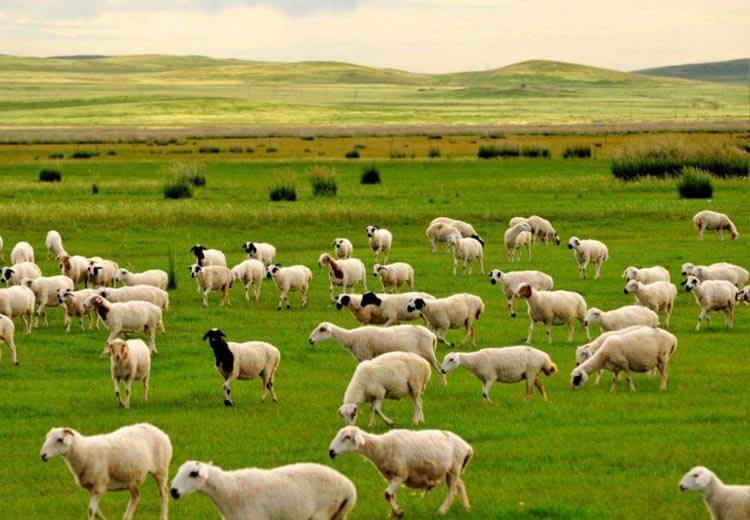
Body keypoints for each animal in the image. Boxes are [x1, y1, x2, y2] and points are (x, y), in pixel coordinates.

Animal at [40, 423, 171, 520]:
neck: (83, 451)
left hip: (161, 469)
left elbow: (91, 511)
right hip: (132, 476)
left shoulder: (99, 485)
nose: (43, 456)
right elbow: (97, 511)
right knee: (136, 496)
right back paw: (126, 517)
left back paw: (163, 516)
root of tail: (158, 430)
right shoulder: (90, 487)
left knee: (163, 494)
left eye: (60, 439)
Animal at [308, 322, 443, 383]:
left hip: (428, 353)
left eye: (322, 329)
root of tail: (432, 335)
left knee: (439, 368)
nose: (310, 340)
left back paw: (443, 385)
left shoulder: (366, 356)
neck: (352, 338)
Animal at [329, 426, 473, 517]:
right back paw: (466, 508)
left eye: (347, 437)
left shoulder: (401, 475)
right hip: (450, 471)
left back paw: (441, 512)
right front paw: (392, 514)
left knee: (451, 491)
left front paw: (398, 512)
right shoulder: (391, 477)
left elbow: (387, 494)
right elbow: (392, 495)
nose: (331, 452)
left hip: (454, 468)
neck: (381, 447)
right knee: (460, 485)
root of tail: (467, 447)